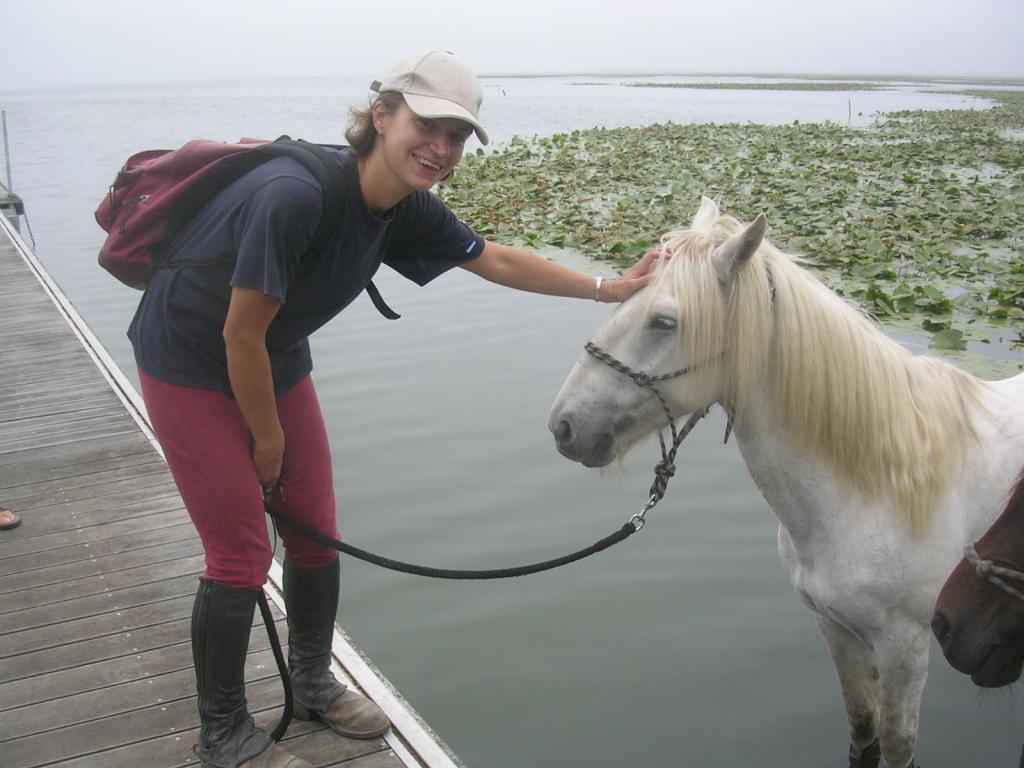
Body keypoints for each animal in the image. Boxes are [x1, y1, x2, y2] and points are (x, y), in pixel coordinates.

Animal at [552, 198, 1024, 768]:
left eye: (664, 322)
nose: (564, 426)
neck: (879, 487)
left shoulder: (905, 650)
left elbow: (896, 744)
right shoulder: (835, 629)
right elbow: (862, 726)